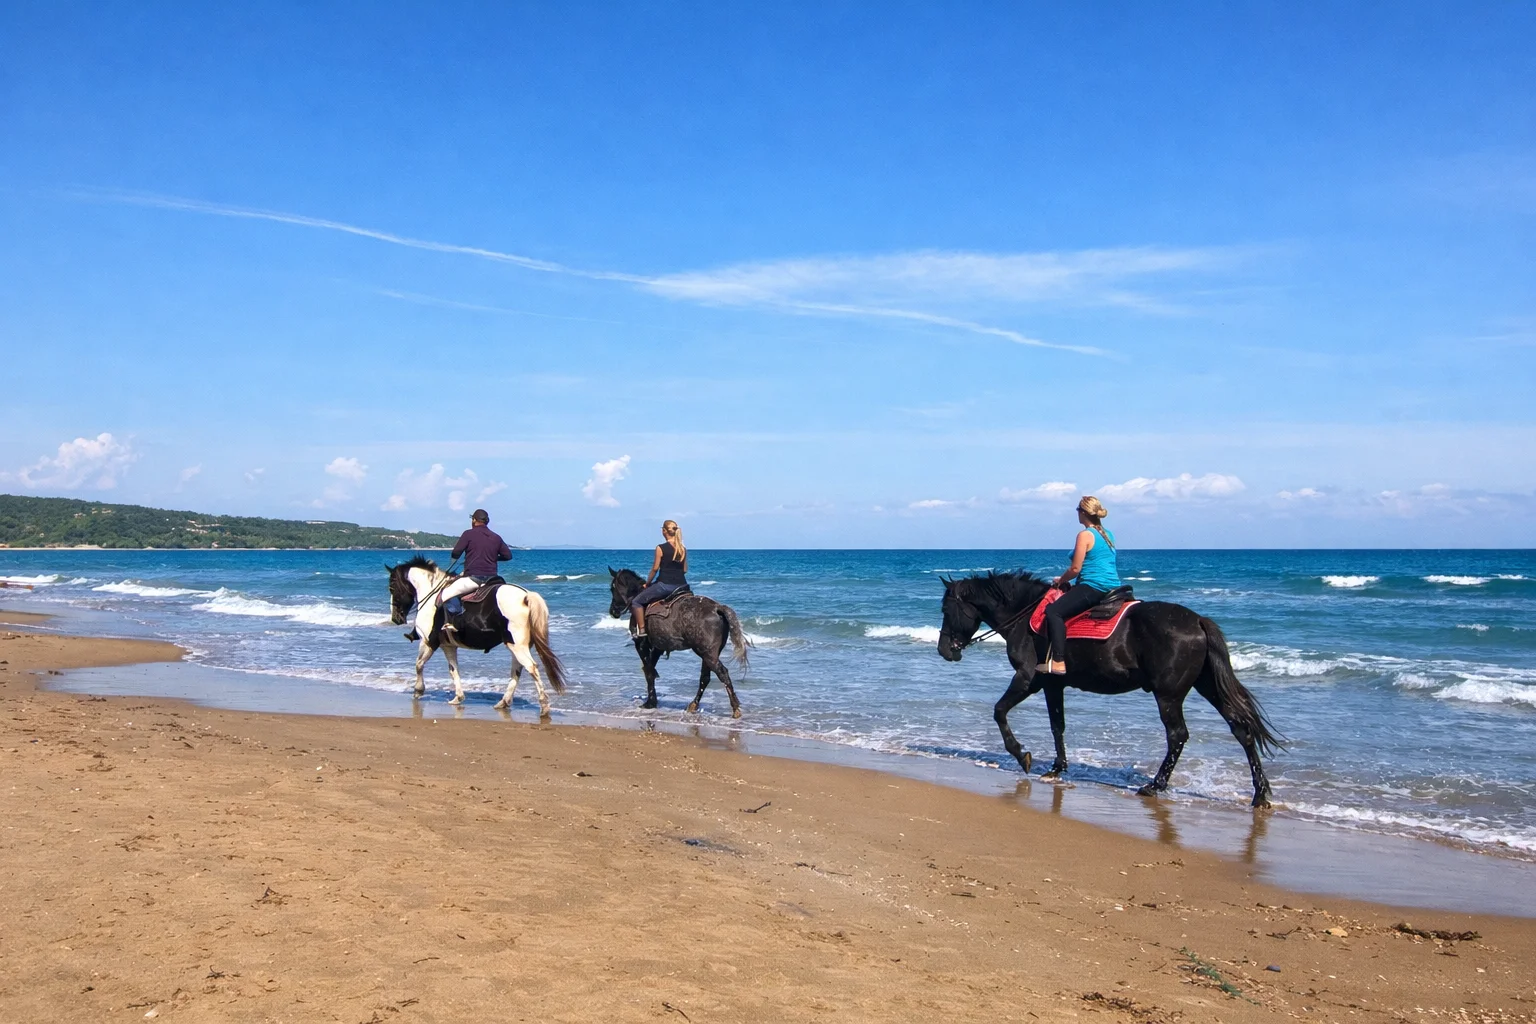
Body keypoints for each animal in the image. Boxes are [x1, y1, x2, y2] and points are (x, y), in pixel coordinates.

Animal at [387, 556, 566, 714]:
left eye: (392, 587)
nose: (395, 618)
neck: (432, 595)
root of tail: (525, 596)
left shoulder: (428, 641)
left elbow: (419, 664)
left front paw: (418, 690)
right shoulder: (448, 646)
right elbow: (453, 670)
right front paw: (458, 697)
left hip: (517, 645)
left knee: (531, 668)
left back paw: (543, 705)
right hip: (518, 645)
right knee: (517, 670)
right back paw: (504, 702)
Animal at [607, 567, 750, 718]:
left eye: (612, 588)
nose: (613, 611)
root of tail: (718, 608)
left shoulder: (641, 645)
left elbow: (648, 671)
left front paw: (650, 702)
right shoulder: (658, 647)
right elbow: (651, 670)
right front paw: (652, 700)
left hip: (707, 654)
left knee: (722, 674)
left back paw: (735, 708)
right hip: (709, 654)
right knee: (705, 677)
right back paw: (694, 705)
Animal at [936, 571, 1282, 808]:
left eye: (946, 610)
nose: (944, 651)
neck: (1026, 616)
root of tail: (1198, 621)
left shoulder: (1027, 679)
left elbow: (999, 711)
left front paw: (1022, 756)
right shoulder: (1052, 683)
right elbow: (1057, 725)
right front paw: (1057, 768)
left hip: (1168, 695)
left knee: (1178, 735)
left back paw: (1155, 785)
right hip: (1207, 685)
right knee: (1241, 729)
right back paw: (1260, 795)